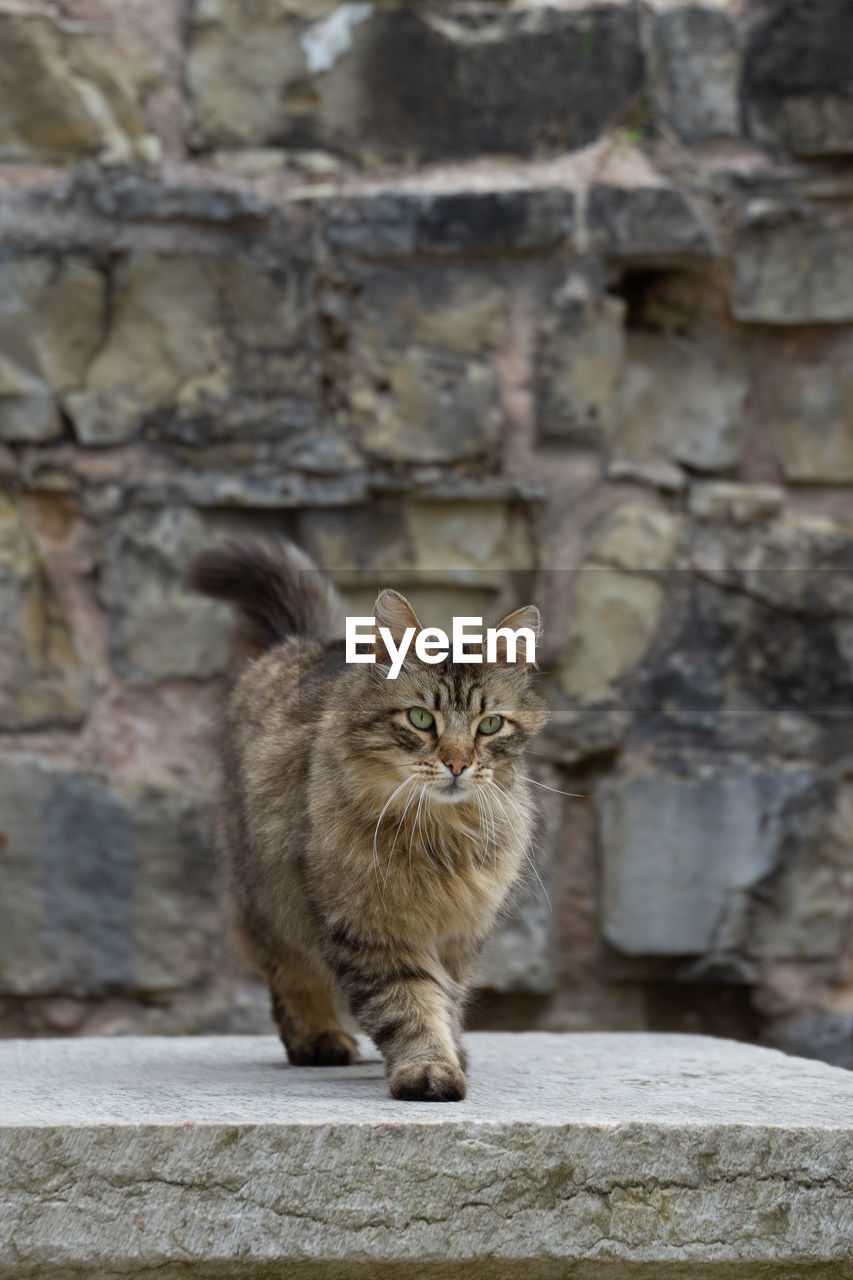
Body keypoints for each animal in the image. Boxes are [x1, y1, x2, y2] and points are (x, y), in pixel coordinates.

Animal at [186, 540, 548, 1100]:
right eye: (420, 719)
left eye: (489, 725)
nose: (458, 763)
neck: (439, 835)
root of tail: (305, 640)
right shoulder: (368, 929)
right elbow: (409, 1006)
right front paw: (429, 1069)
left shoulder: (459, 935)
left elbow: (447, 1000)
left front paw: (453, 1051)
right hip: (271, 900)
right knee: (290, 975)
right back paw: (318, 1040)